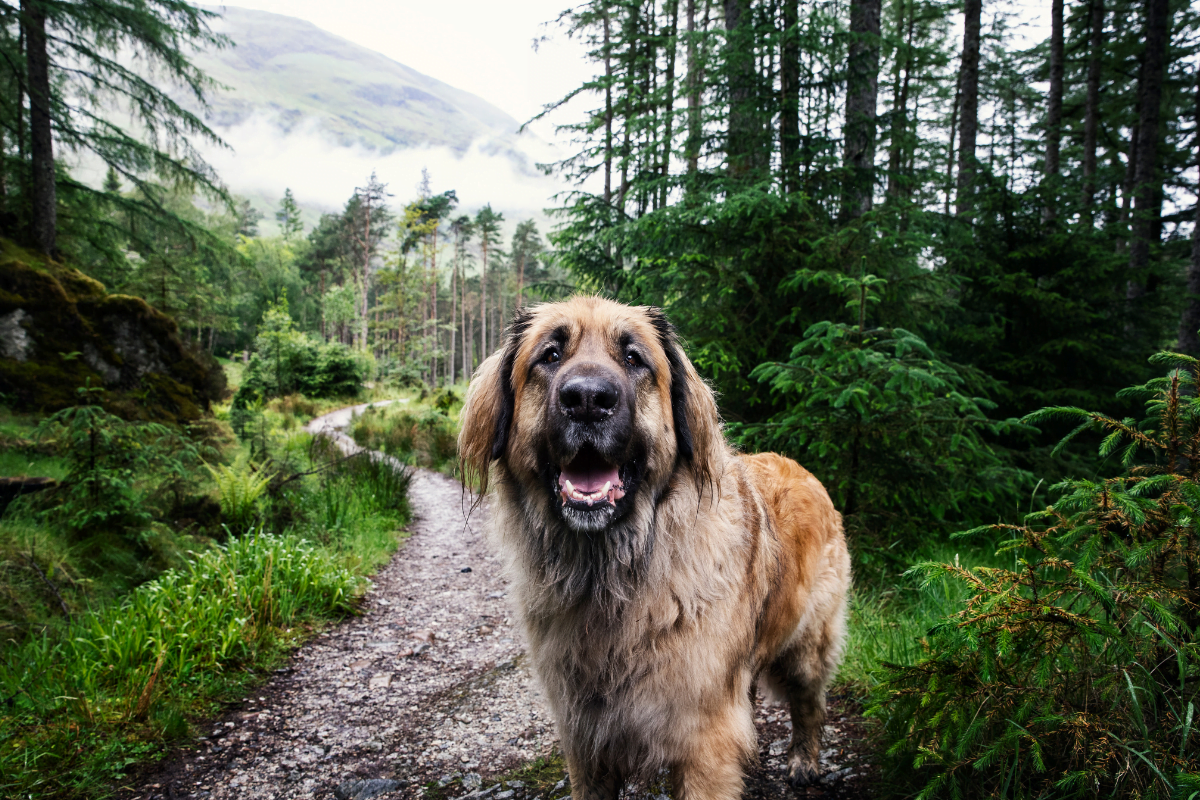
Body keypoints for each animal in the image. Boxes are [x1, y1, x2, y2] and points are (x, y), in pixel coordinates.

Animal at [453, 298, 849, 800]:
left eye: (633, 358)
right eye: (550, 355)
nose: (587, 400)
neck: (610, 575)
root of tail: (802, 469)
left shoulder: (704, 740)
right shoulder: (585, 739)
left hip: (806, 647)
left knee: (809, 705)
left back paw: (804, 761)